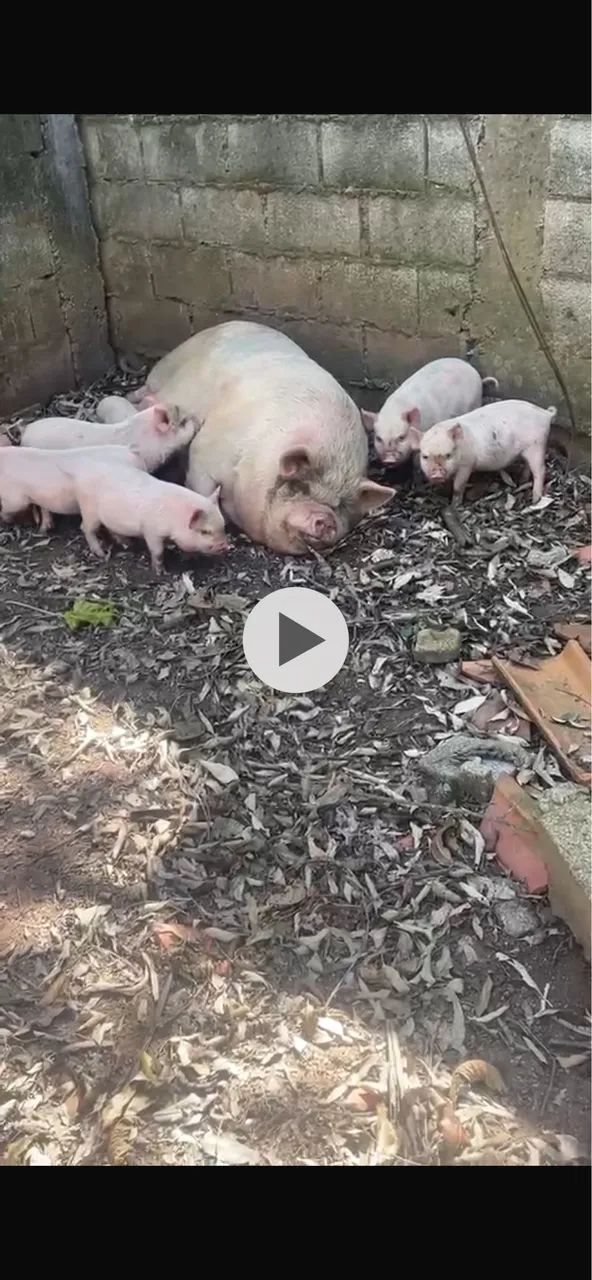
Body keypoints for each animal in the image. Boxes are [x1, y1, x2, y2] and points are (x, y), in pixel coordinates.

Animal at [0, 444, 145, 532]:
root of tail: (131, 451)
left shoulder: (14, 498)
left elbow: (7, 509)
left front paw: (7, 520)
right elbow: (43, 508)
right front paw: (44, 528)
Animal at [75, 468, 229, 574]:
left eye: (223, 526)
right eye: (205, 531)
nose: (224, 545)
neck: (174, 518)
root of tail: (80, 480)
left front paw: (190, 559)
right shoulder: (151, 531)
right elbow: (158, 552)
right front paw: (161, 572)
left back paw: (127, 545)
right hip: (89, 511)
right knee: (85, 528)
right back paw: (101, 554)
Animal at [117, 321, 395, 555]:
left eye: (341, 505)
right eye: (300, 486)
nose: (325, 520)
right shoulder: (204, 454)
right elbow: (201, 486)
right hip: (169, 376)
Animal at [419, 400, 556, 505]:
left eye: (448, 454)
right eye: (424, 456)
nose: (436, 473)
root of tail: (546, 414)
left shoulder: (467, 464)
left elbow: (458, 486)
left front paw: (455, 505)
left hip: (537, 445)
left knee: (540, 470)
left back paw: (535, 500)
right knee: (528, 465)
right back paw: (522, 480)